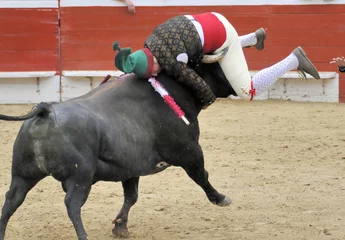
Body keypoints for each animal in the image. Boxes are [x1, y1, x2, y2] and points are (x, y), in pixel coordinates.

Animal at [0, 62, 235, 240]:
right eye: (219, 66)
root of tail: (45, 113)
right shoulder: (189, 152)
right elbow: (202, 176)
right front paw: (220, 198)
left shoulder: (130, 168)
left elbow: (131, 196)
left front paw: (120, 226)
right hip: (80, 177)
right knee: (72, 205)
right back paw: (83, 236)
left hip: (23, 175)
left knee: (11, 201)